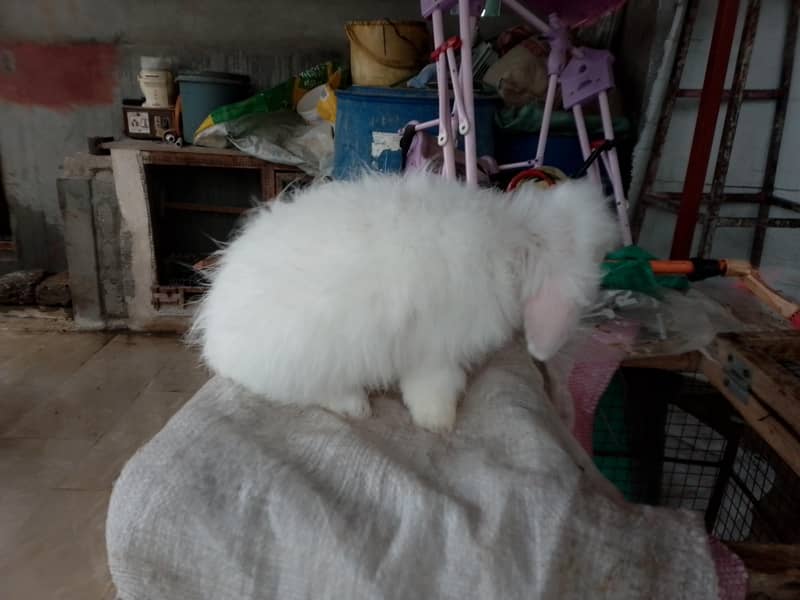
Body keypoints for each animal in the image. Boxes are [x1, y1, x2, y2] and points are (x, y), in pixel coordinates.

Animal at [191, 172, 619, 432]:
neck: (514, 241)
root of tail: (215, 340)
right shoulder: (437, 351)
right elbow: (433, 388)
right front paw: (439, 422)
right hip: (305, 357)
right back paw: (355, 406)